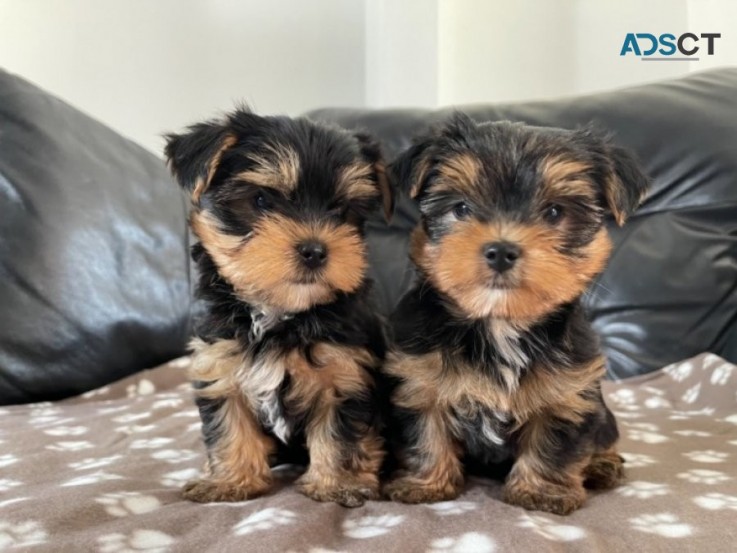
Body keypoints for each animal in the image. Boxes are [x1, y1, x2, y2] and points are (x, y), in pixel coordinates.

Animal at [165, 105, 392, 506]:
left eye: (341, 210)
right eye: (261, 201)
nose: (315, 250)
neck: (278, 312)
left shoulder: (345, 372)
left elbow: (340, 432)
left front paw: (338, 484)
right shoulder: (220, 364)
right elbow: (229, 424)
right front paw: (230, 481)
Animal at [382, 113, 648, 512]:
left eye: (555, 212)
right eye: (461, 208)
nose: (501, 250)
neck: (499, 323)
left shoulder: (567, 389)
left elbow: (555, 441)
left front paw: (541, 492)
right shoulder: (420, 377)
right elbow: (426, 431)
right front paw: (425, 483)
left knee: (605, 434)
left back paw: (603, 465)